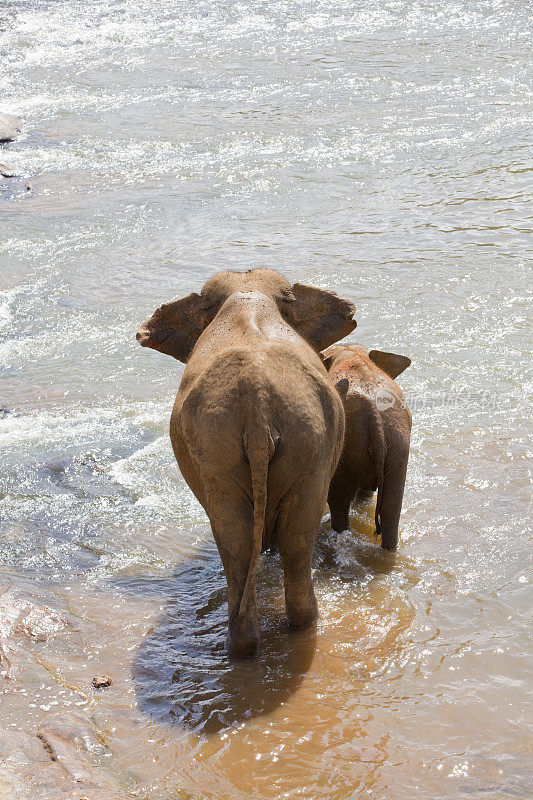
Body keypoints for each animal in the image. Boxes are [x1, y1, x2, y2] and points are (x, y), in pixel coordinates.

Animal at [136, 268, 358, 656]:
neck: (246, 296)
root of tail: (258, 404)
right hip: (293, 439)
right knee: (286, 537)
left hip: (252, 440)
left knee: (250, 539)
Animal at [320, 344, 412, 552]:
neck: (352, 352)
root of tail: (375, 419)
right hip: (398, 446)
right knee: (391, 509)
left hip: (348, 450)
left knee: (338, 501)